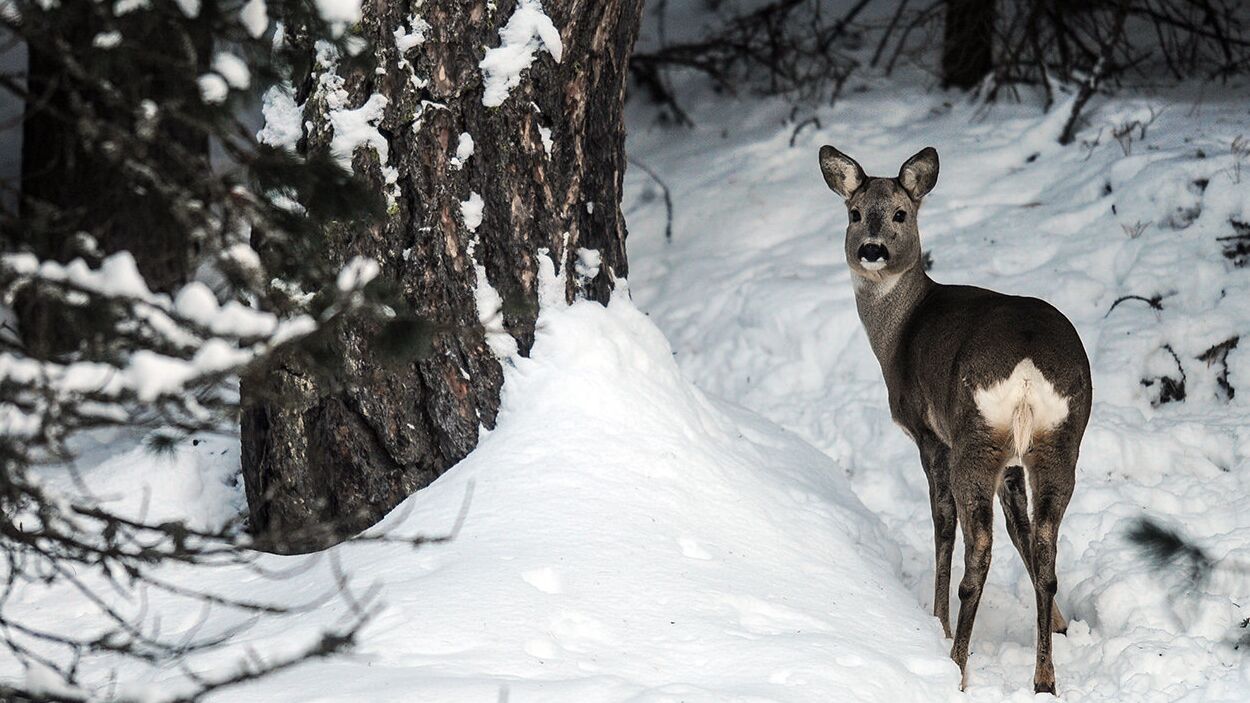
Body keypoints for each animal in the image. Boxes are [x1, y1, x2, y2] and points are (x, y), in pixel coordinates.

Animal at [815, 143, 1090, 690]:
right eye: (854, 213)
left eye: (901, 214)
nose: (871, 249)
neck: (898, 332)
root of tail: (1027, 368)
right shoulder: (1011, 465)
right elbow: (1022, 534)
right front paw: (1061, 625)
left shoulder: (929, 434)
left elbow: (941, 522)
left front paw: (937, 622)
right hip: (1059, 441)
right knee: (1045, 547)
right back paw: (1044, 678)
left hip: (974, 438)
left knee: (978, 547)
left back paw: (957, 664)